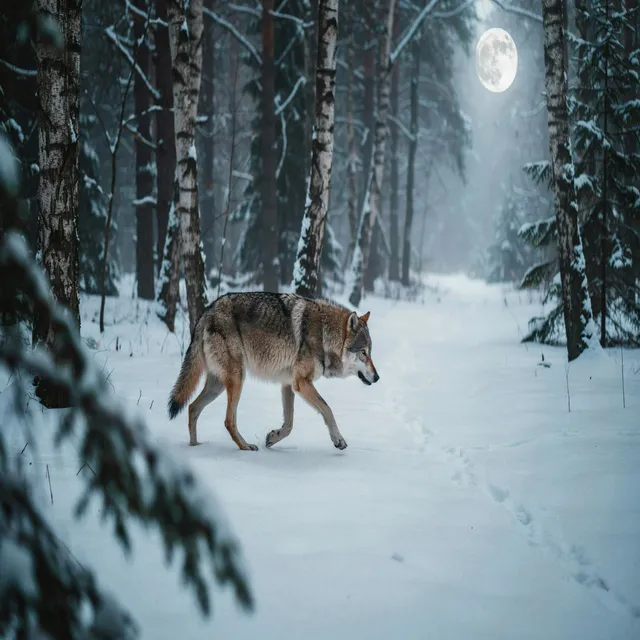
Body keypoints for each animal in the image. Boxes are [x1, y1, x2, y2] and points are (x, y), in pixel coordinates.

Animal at [167, 292, 380, 451]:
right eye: (363, 353)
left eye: (370, 352)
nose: (377, 377)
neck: (324, 334)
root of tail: (207, 311)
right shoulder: (302, 383)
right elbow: (327, 409)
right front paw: (338, 440)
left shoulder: (289, 384)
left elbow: (289, 424)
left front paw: (272, 437)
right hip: (237, 379)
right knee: (228, 420)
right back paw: (245, 447)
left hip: (217, 385)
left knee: (192, 408)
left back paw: (195, 446)